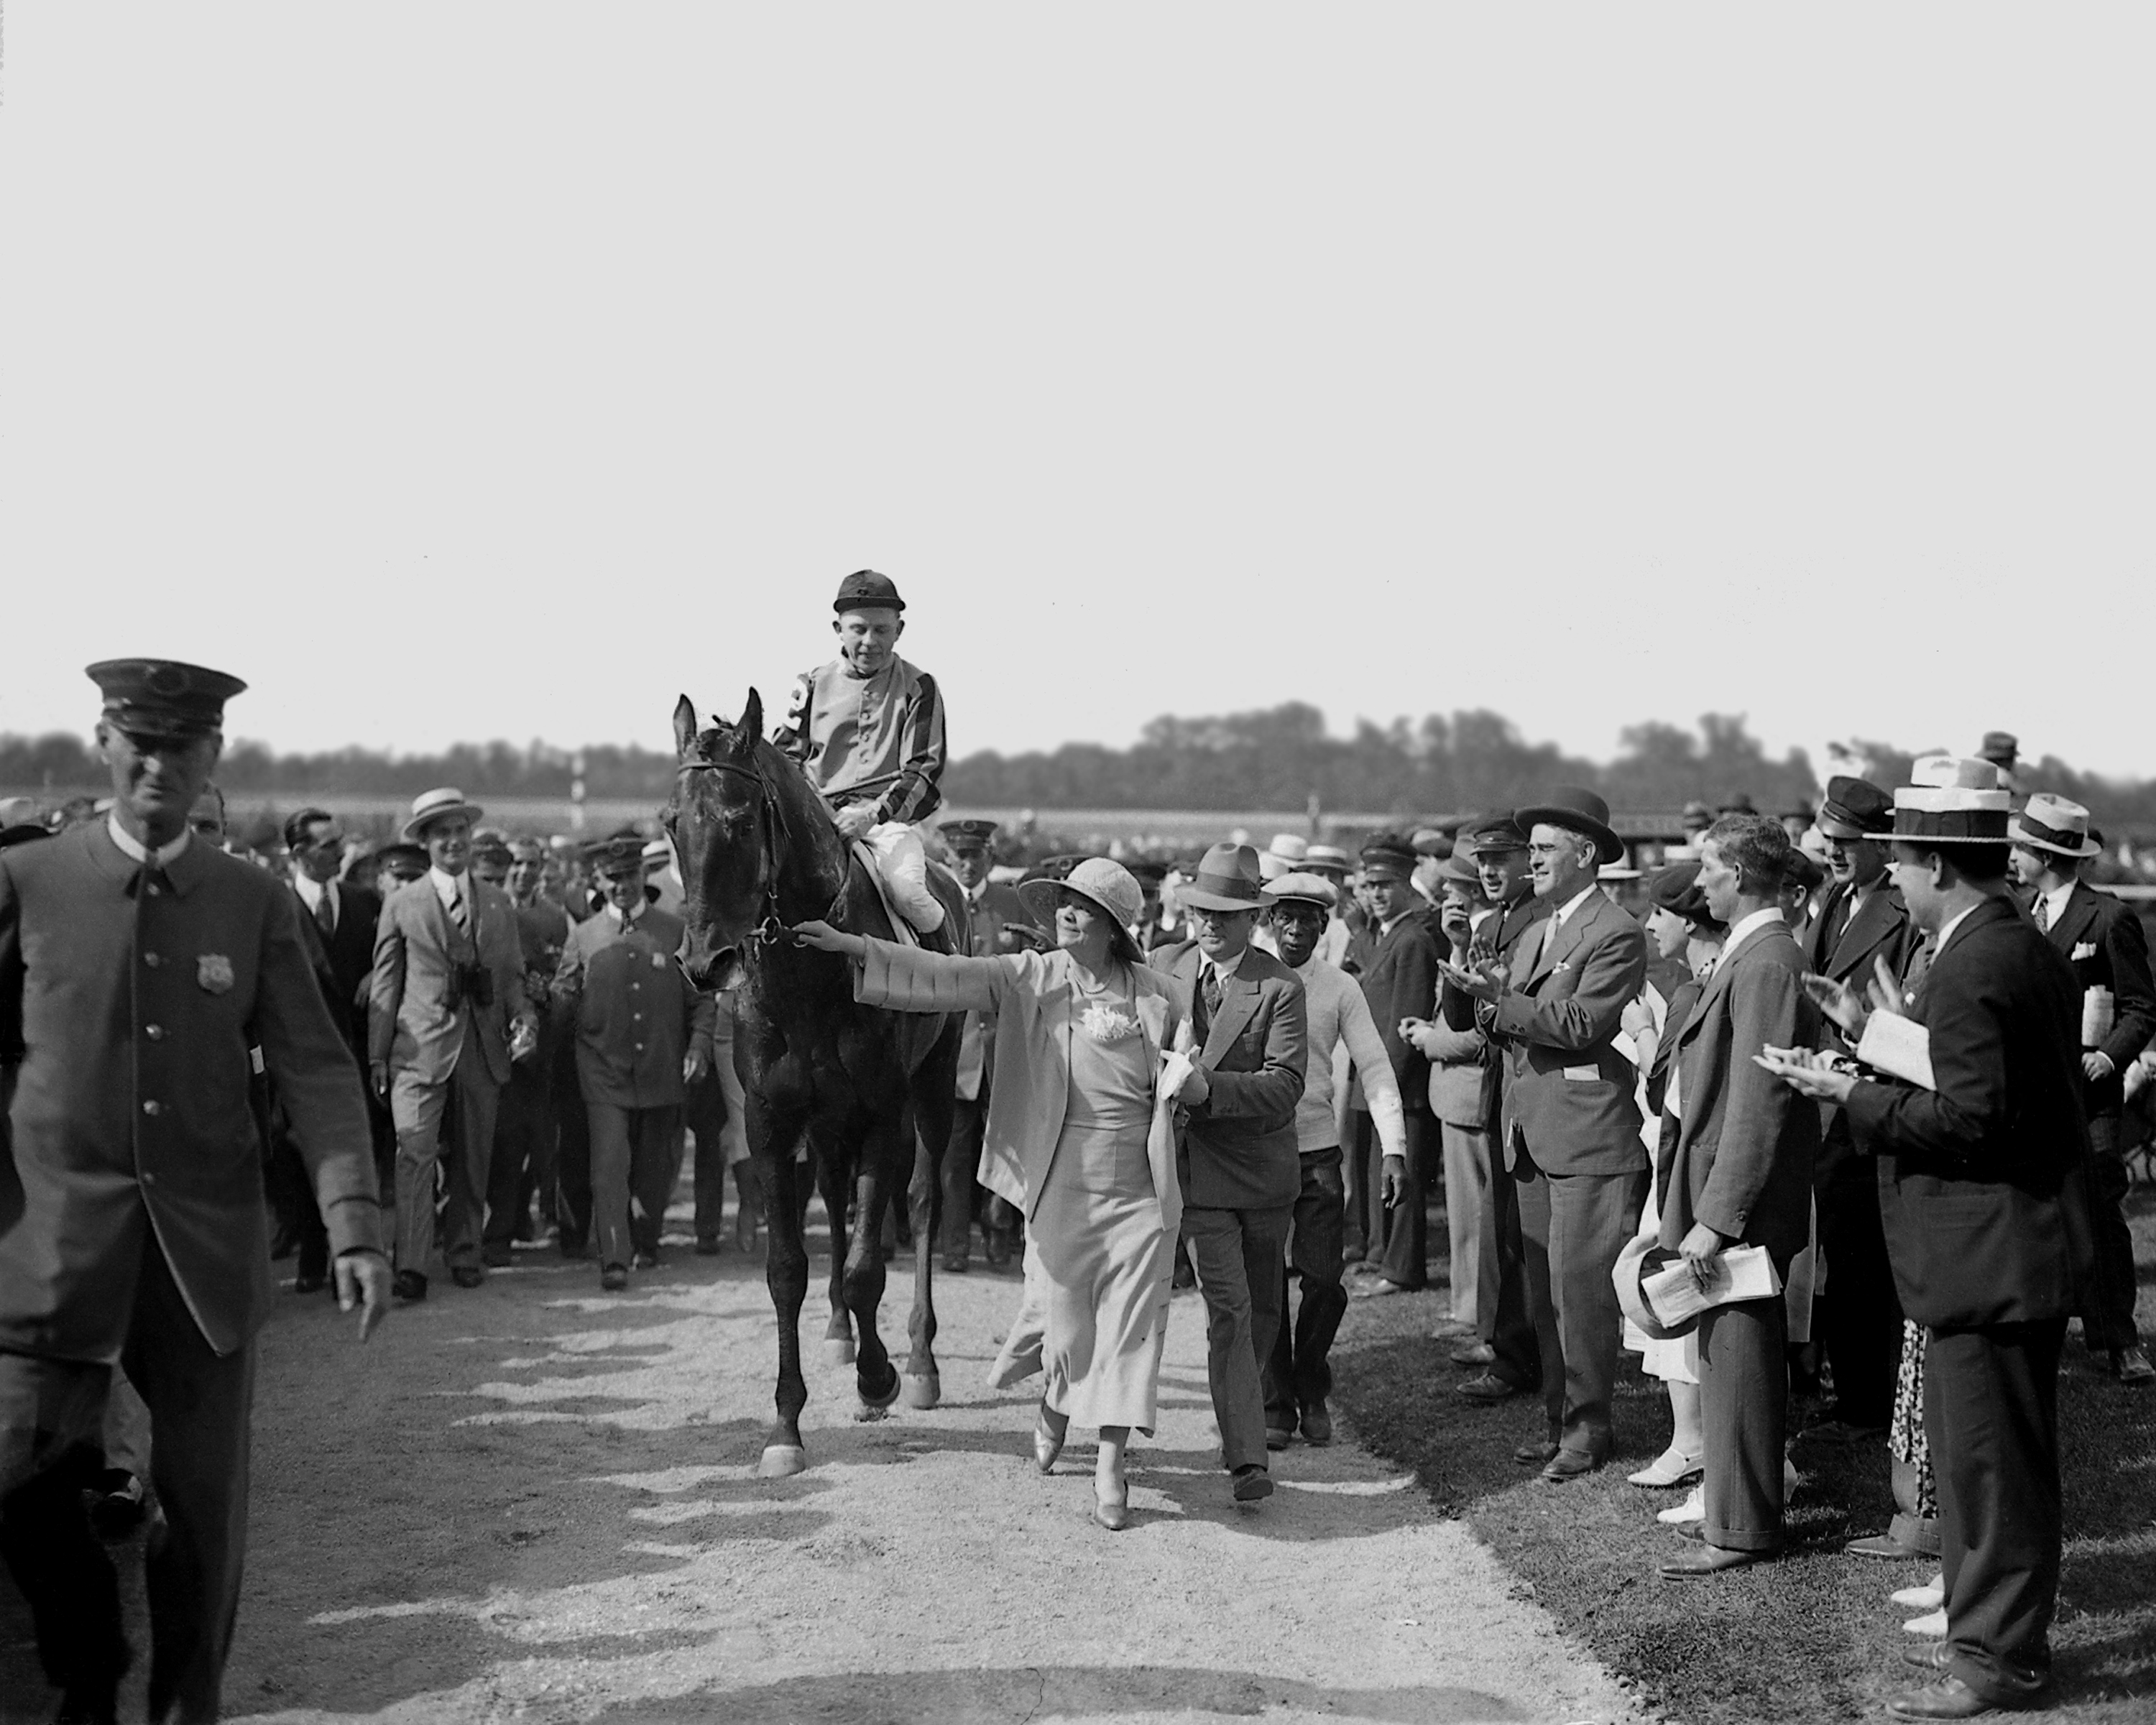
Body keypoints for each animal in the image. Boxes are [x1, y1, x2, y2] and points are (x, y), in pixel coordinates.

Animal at [668, 694, 966, 1475]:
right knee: (834, 1201)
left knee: (923, 1202)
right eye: (671, 822)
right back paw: (838, 1331)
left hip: (935, 1084)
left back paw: (918, 1362)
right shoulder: (771, 1121)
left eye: (743, 822)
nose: (705, 963)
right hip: (829, 1124)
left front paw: (879, 1376)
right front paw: (784, 1426)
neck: (810, 977)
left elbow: (867, 1265)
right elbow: (786, 1268)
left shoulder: (885, 1112)